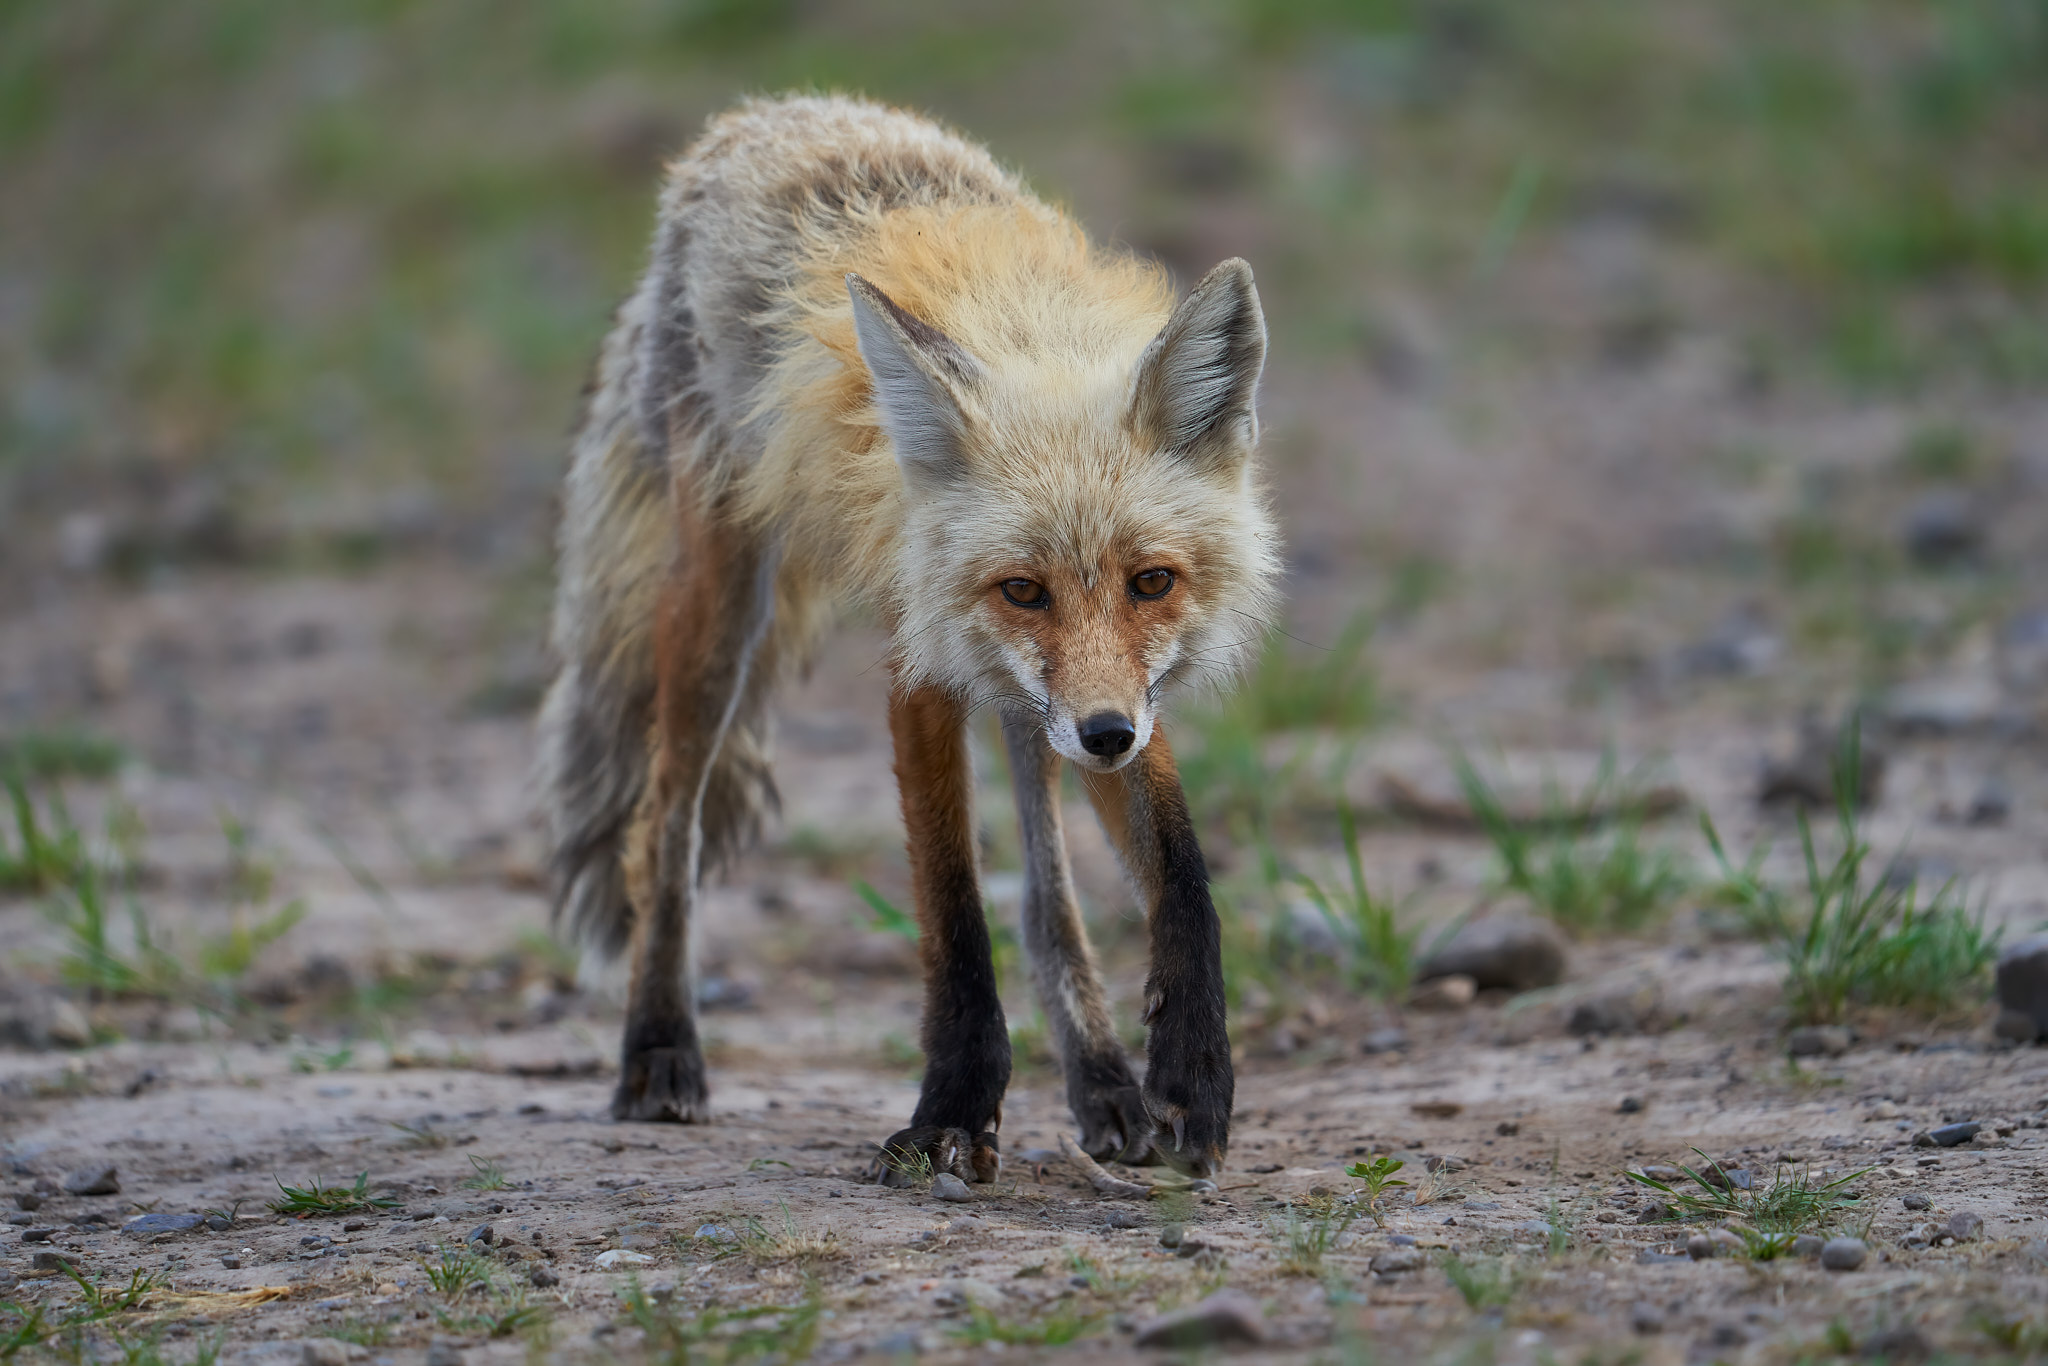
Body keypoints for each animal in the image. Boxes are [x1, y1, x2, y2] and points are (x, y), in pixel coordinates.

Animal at [536, 93, 1278, 1183]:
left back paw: (1103, 1083)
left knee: (1046, 898)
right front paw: (950, 1114)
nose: (1103, 738)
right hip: (720, 607)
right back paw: (659, 1047)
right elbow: (952, 905)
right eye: (1022, 589)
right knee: (661, 828)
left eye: (1152, 582)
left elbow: (1180, 877)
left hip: (1023, 703)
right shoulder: (926, 664)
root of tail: (756, 117)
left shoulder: (1118, 693)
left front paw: (1189, 1074)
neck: (1030, 336)